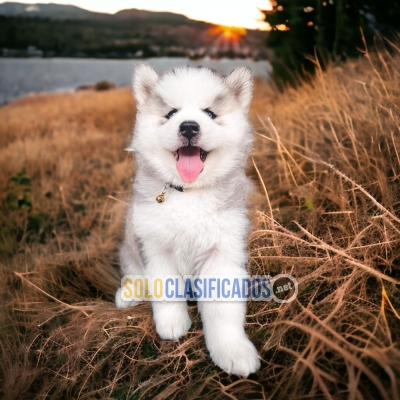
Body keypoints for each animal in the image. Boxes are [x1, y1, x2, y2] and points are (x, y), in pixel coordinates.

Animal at [115, 64, 260, 376]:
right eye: (171, 113)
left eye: (210, 114)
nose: (189, 126)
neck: (189, 193)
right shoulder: (155, 247)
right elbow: (165, 289)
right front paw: (172, 325)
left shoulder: (223, 254)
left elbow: (223, 311)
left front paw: (233, 350)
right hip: (129, 245)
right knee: (133, 271)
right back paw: (129, 293)